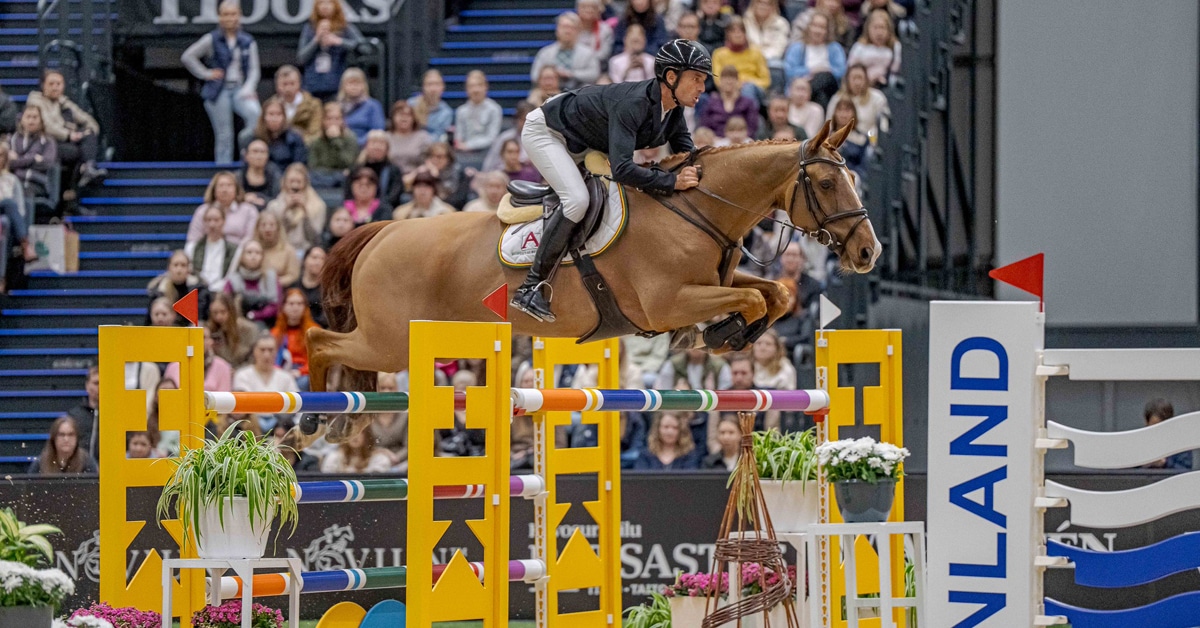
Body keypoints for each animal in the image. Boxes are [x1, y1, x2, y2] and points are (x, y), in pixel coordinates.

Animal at [286, 119, 880, 449]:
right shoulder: (666, 302)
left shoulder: (713, 280)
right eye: (827, 182)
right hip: (390, 340)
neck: (693, 207)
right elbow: (755, 296)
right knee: (320, 340)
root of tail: (385, 231)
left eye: (855, 176)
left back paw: (339, 421)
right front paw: (717, 333)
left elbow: (776, 293)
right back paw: (314, 419)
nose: (868, 252)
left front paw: (726, 334)